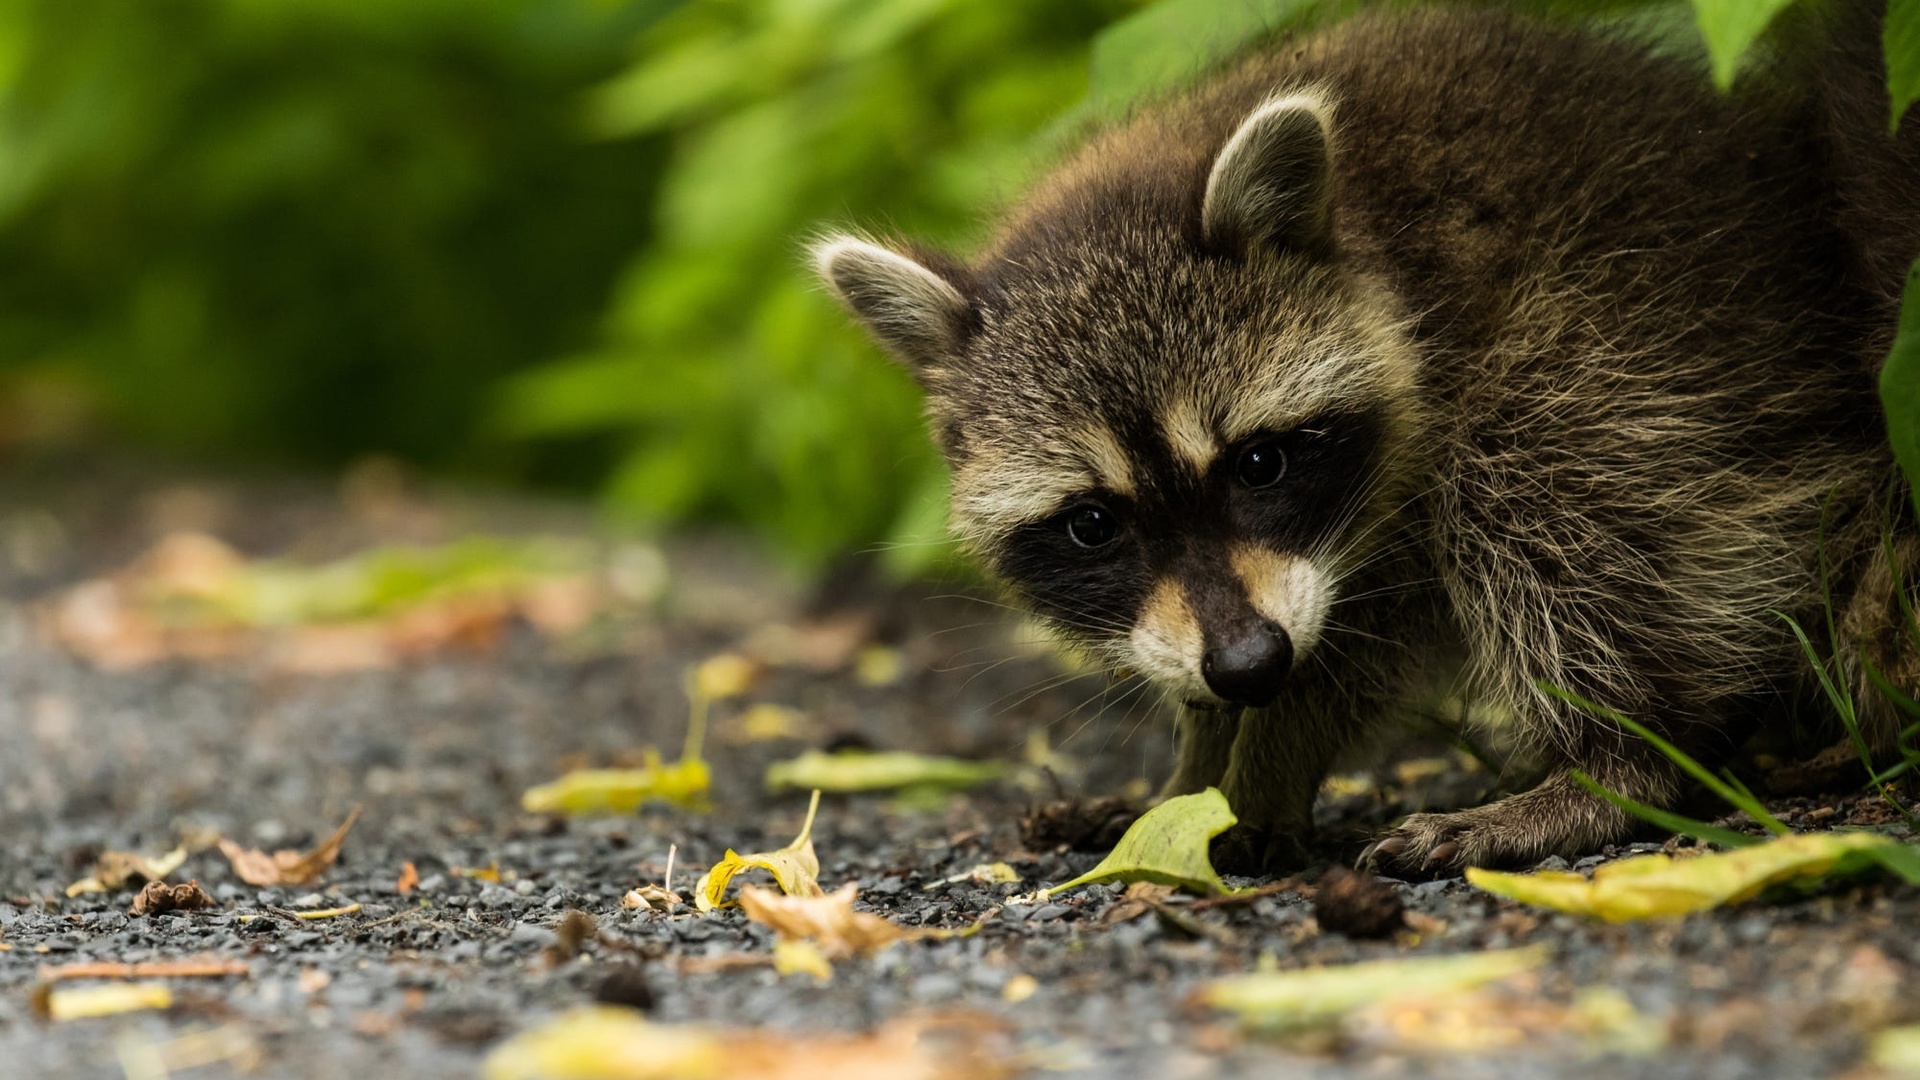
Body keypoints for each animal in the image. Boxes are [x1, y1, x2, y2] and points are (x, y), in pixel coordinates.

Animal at [810, 4, 1920, 868]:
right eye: (1093, 523)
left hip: (1639, 349)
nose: (1247, 664)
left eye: (1260, 463)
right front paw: (1188, 778)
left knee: (1544, 484)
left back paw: (1619, 761)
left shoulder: (1427, 419)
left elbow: (1356, 644)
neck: (1367, 246)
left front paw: (1251, 779)